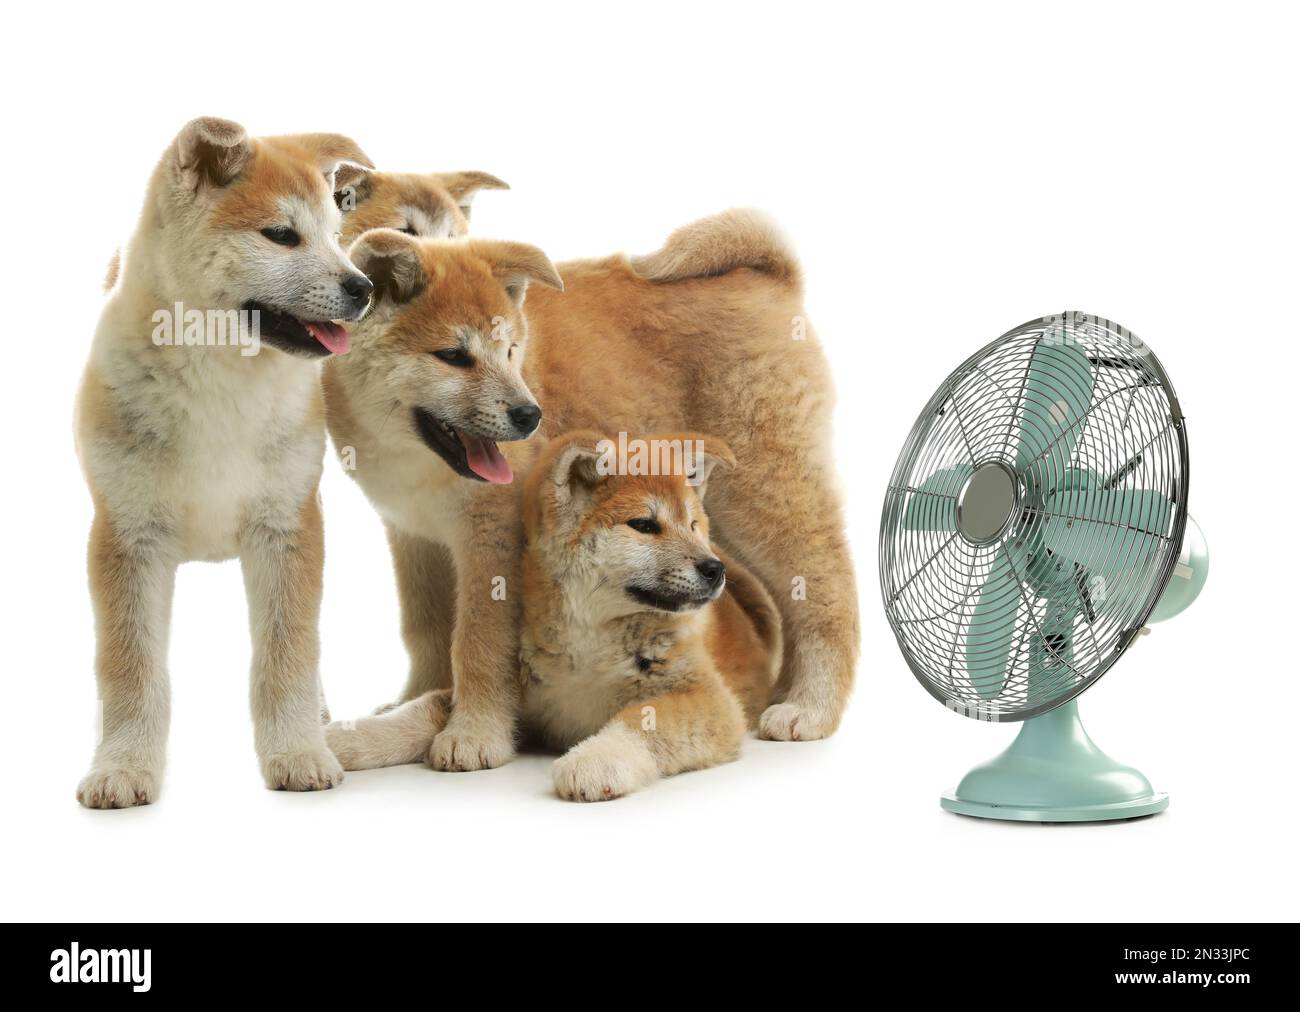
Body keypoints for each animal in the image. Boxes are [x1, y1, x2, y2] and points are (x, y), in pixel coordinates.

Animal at [76, 116, 374, 806]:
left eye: (335, 236)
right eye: (282, 235)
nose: (364, 287)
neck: (218, 385)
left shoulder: (288, 526)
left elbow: (288, 654)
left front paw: (298, 751)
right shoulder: (126, 536)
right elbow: (131, 668)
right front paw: (123, 766)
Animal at [322, 226, 561, 764]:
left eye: (510, 351)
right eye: (453, 356)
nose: (529, 415)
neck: (421, 469)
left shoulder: (493, 534)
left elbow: (477, 638)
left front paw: (475, 733)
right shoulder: (412, 533)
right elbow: (426, 628)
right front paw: (415, 700)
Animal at [325, 426, 780, 796]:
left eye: (693, 526)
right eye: (644, 525)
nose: (713, 569)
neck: (589, 639)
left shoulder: (707, 699)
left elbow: (638, 722)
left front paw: (595, 761)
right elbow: (419, 713)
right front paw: (347, 737)